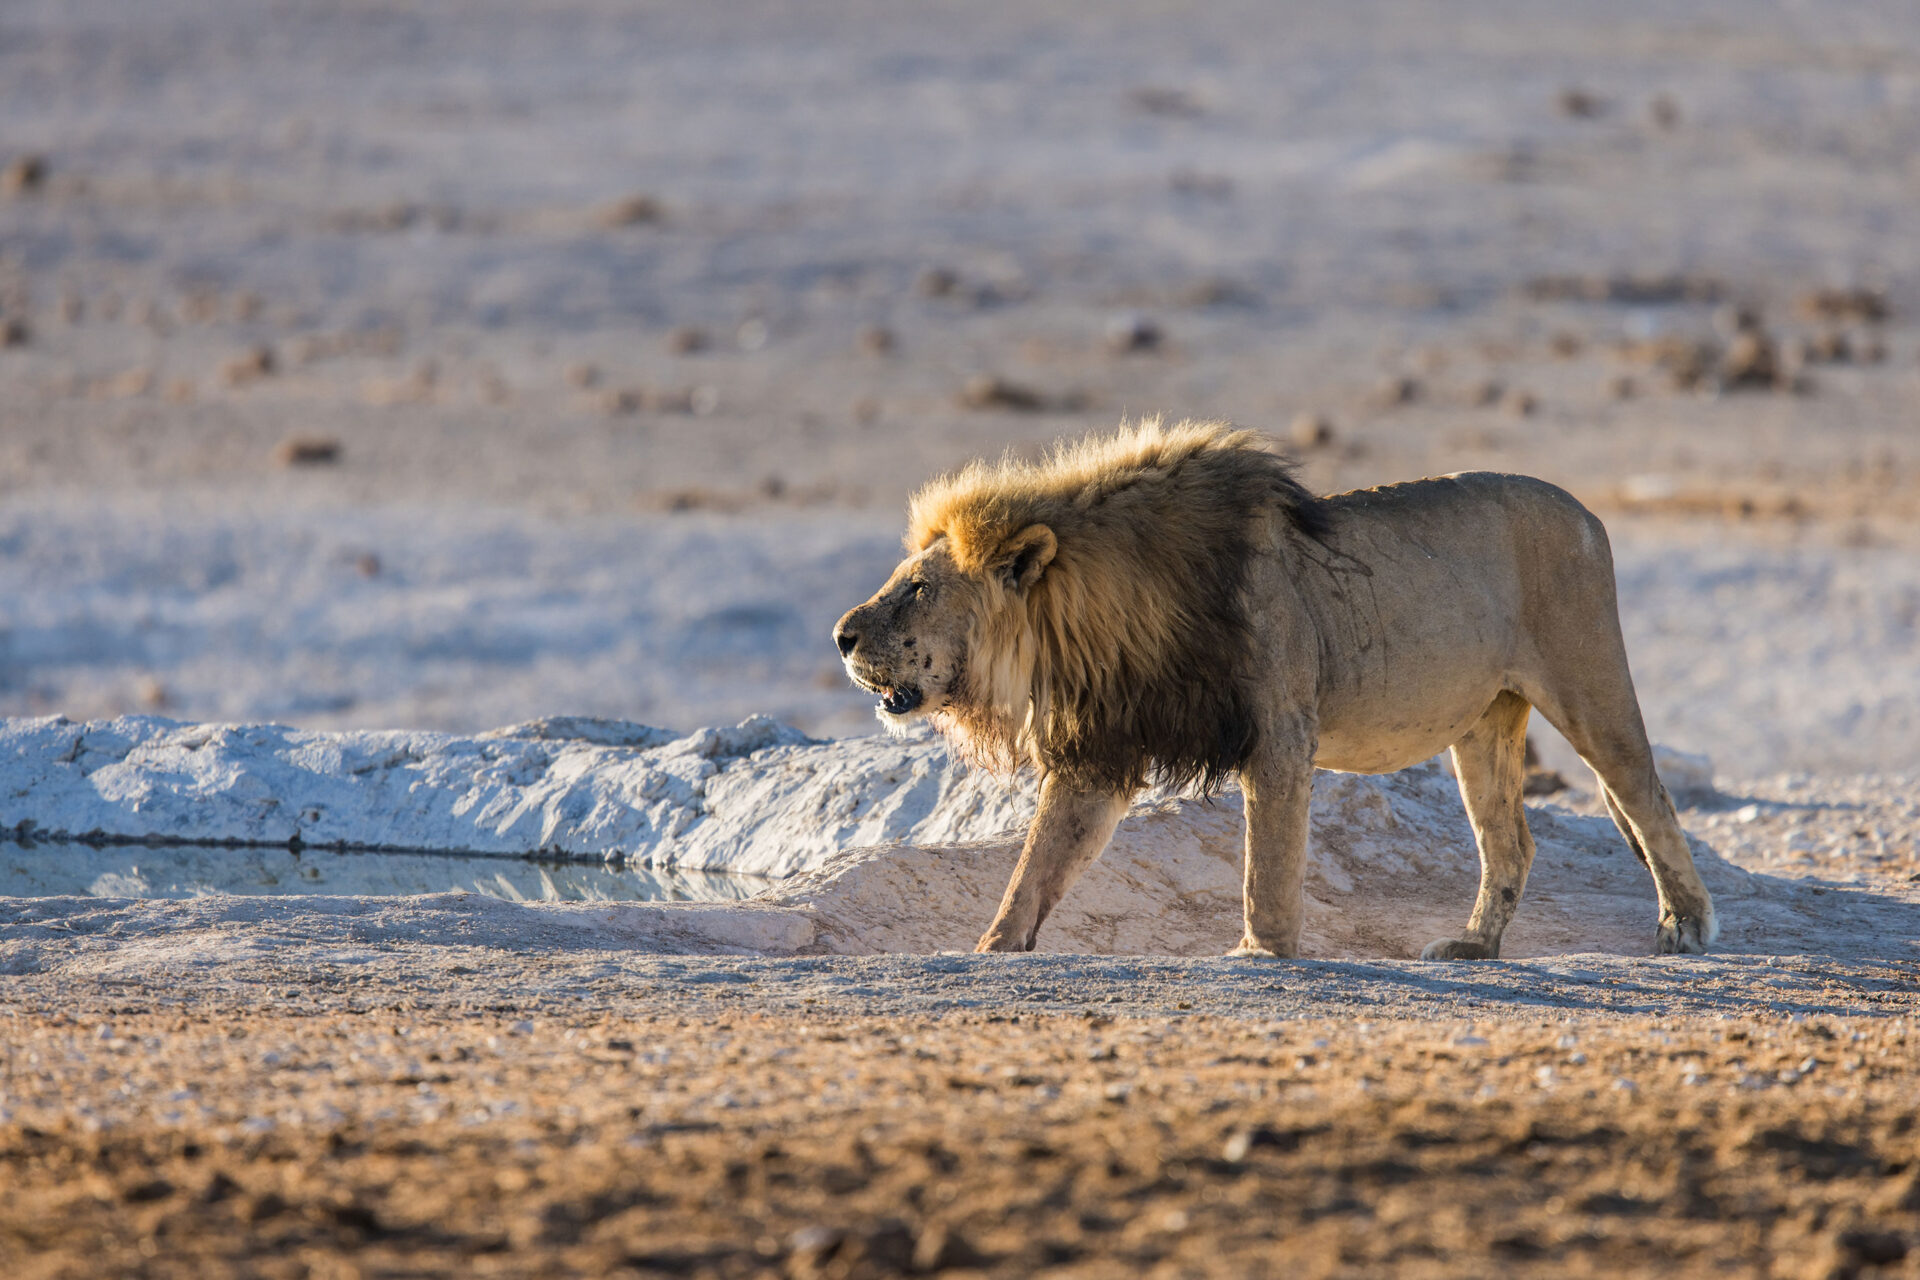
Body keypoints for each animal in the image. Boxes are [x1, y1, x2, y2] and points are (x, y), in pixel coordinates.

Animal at [832, 419, 1717, 960]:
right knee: (1510, 842)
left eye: (917, 589)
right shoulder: (1100, 753)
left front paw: (1262, 949)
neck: (1091, 621)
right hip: (1485, 721)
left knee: (1644, 794)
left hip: (1586, 678)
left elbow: (1269, 859)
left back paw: (1685, 925)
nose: (840, 636)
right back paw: (1473, 948)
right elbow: (1039, 863)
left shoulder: (1280, 730)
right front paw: (991, 948)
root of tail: (1588, 512)